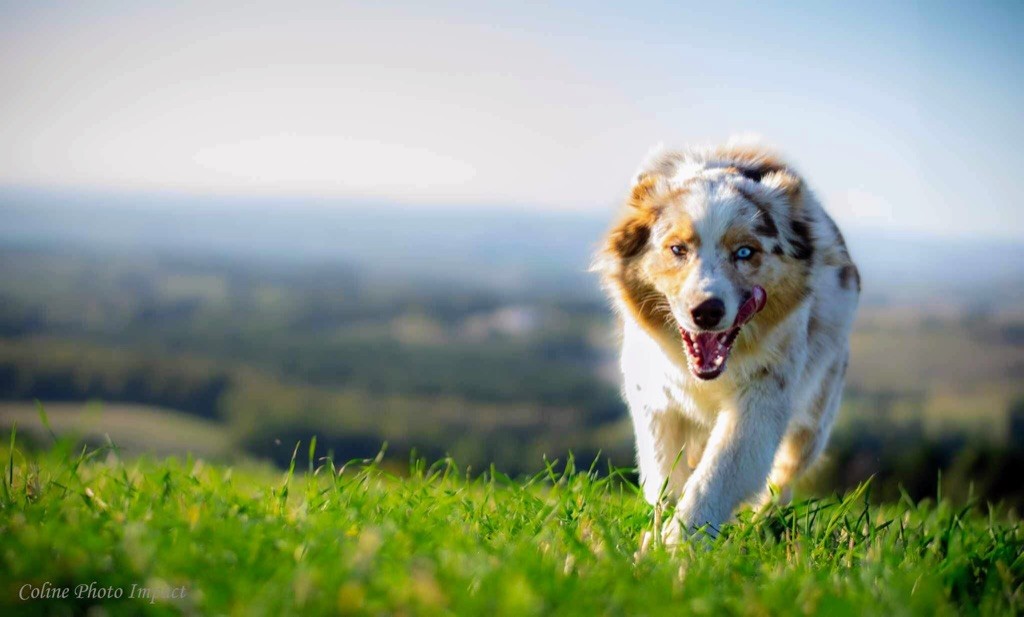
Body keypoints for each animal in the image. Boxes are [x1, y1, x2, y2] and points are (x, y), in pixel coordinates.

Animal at [598, 141, 860, 540]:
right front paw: (657, 535)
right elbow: (665, 477)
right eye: (677, 249)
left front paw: (680, 542)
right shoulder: (655, 400)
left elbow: (717, 475)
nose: (706, 311)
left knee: (782, 481)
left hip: (816, 417)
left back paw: (762, 526)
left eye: (745, 252)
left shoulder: (762, 398)